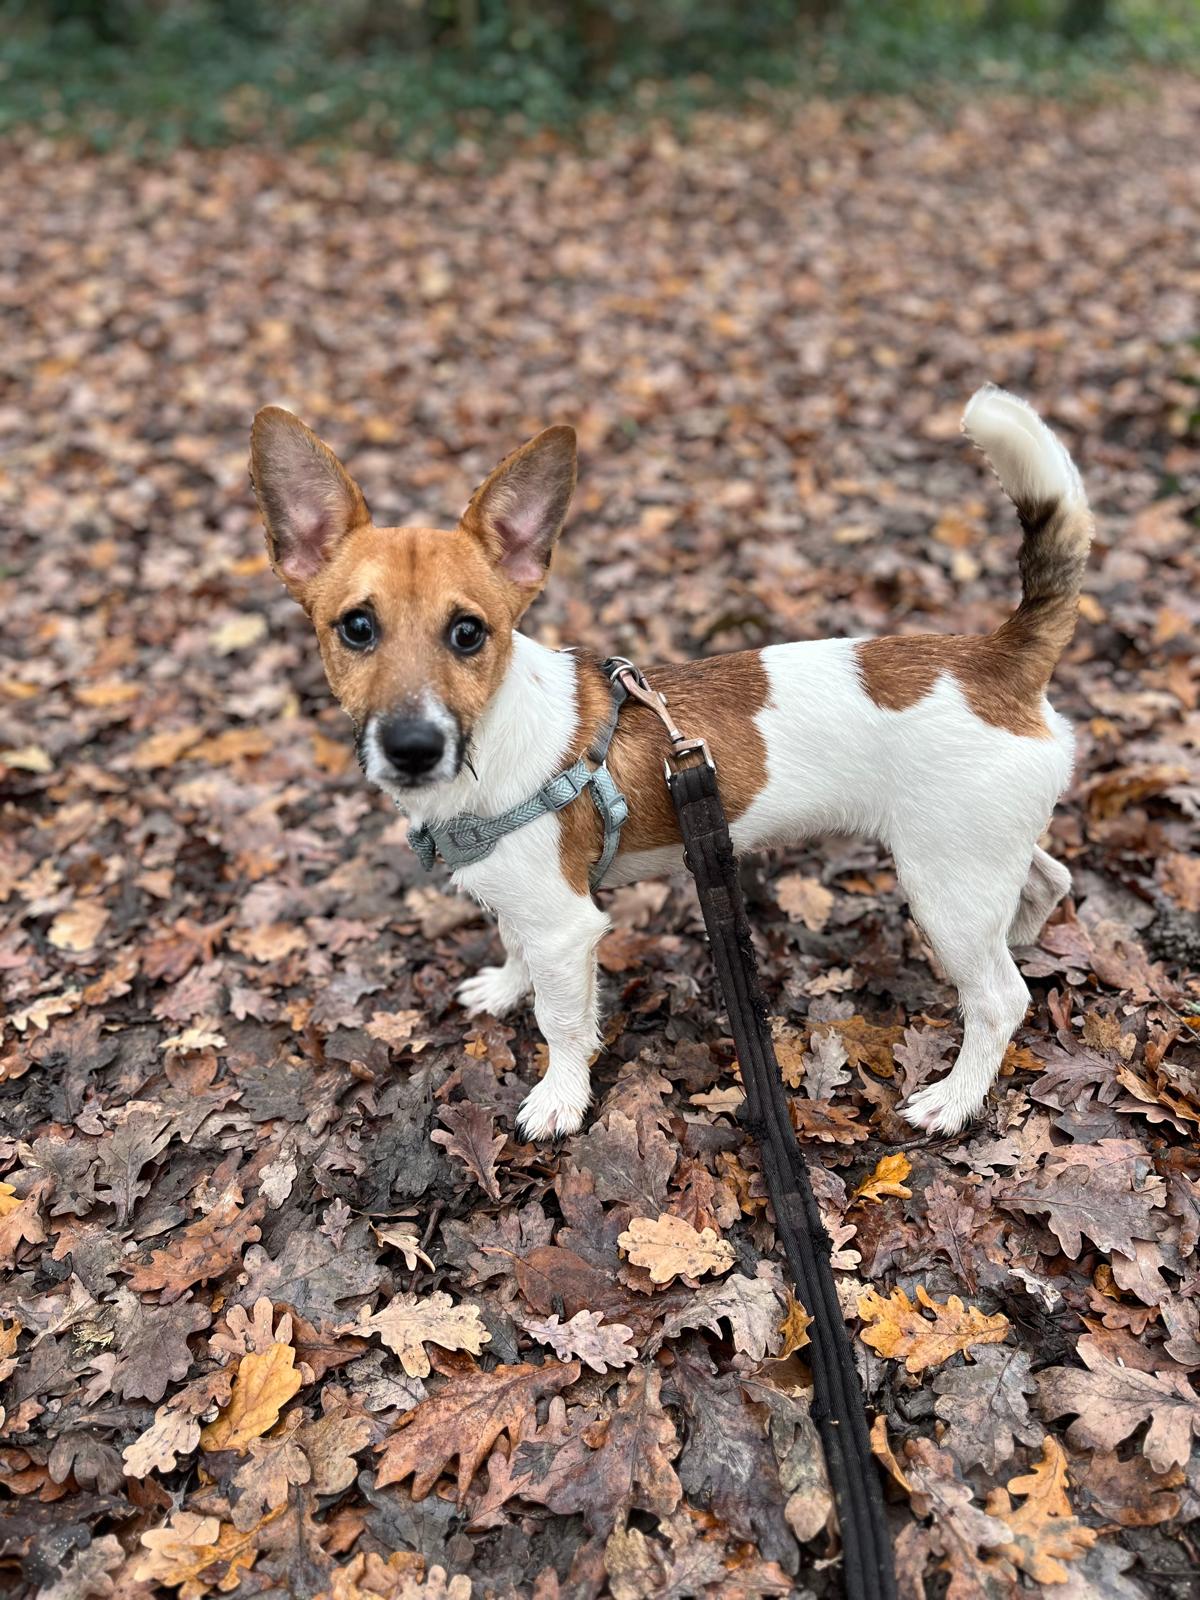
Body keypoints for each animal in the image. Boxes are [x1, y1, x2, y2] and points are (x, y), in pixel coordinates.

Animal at [250, 385, 1090, 1141]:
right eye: (356, 627)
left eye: (468, 633)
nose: (412, 747)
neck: (492, 738)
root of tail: (997, 660)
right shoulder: (529, 906)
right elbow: (516, 948)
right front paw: (506, 987)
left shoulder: (566, 928)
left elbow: (562, 1020)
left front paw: (561, 1098)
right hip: (975, 854)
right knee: (1048, 881)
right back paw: (1022, 933)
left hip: (943, 883)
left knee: (1000, 1000)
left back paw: (956, 1098)